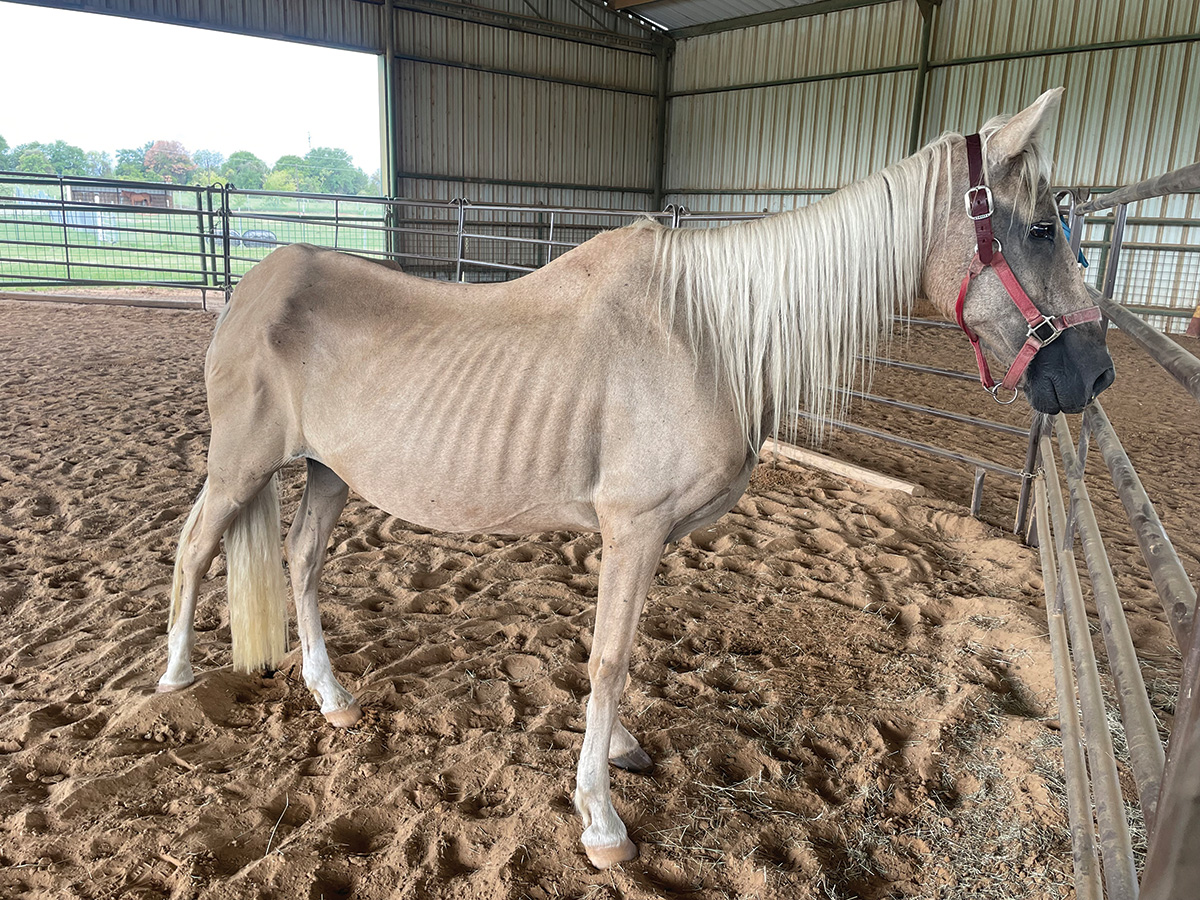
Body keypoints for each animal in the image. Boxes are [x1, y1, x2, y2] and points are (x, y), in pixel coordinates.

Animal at [157, 90, 1113, 868]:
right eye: (1039, 229)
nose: (1092, 375)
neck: (707, 333)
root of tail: (259, 283)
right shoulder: (635, 526)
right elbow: (610, 658)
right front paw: (601, 820)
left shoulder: (647, 539)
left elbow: (627, 650)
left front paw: (617, 753)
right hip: (241, 463)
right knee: (194, 549)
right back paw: (172, 685)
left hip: (328, 473)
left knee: (303, 562)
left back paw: (332, 697)